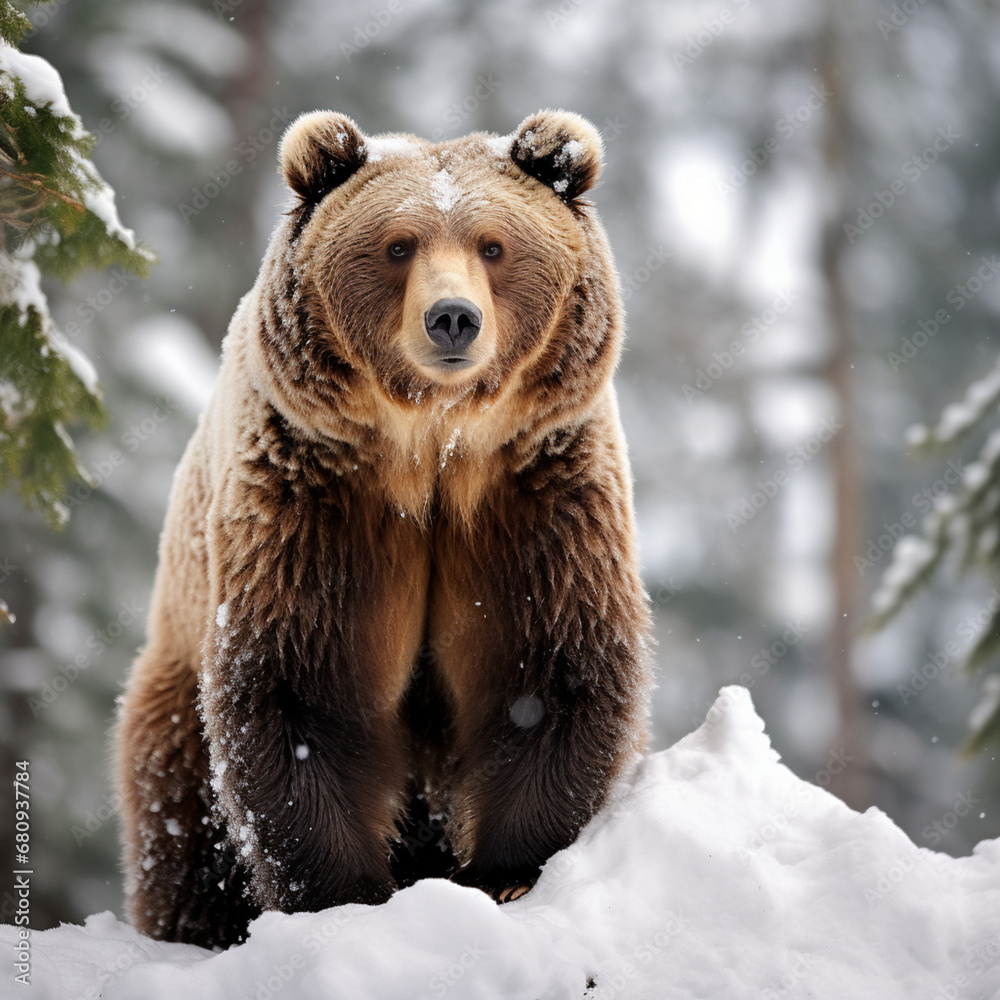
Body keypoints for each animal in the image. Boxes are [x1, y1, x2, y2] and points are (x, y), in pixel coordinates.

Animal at [113, 107, 652, 944]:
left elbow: (548, 672)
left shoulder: (536, 493)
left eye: (493, 245)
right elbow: (306, 691)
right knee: (183, 822)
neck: (434, 448)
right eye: (398, 245)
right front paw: (347, 897)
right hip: (175, 681)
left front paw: (508, 876)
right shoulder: (320, 499)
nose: (453, 318)